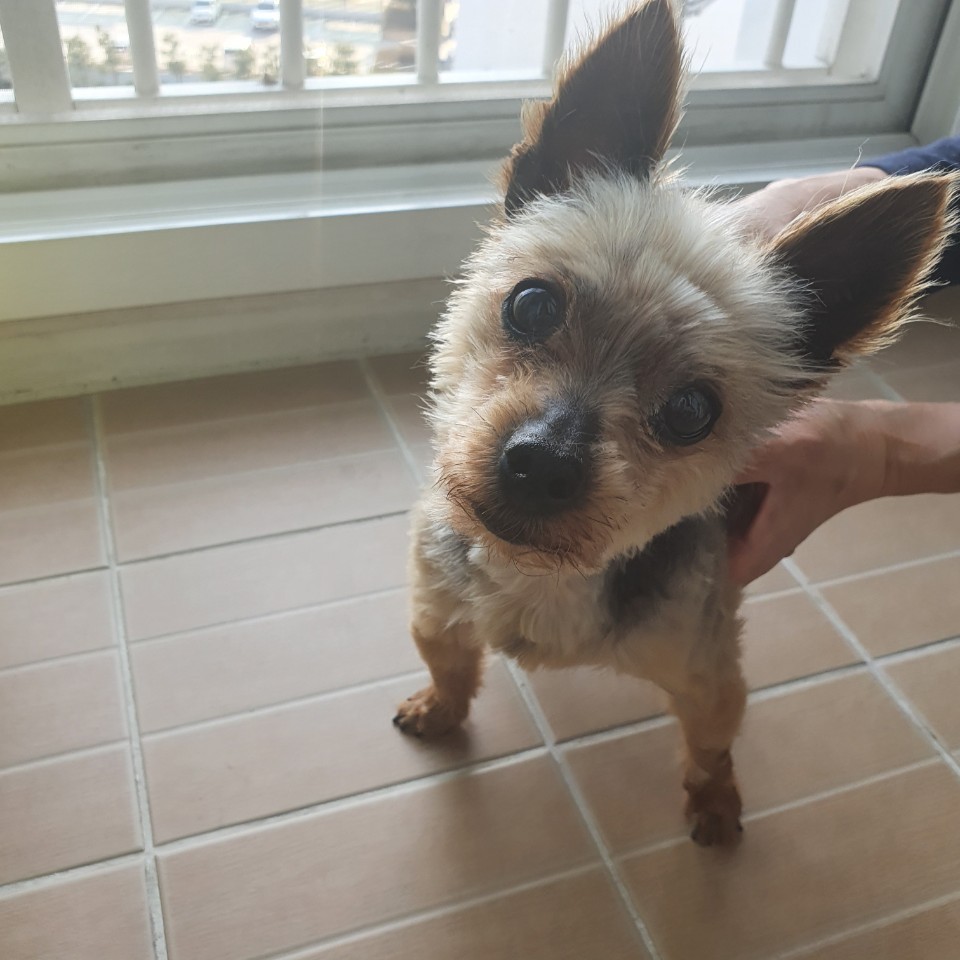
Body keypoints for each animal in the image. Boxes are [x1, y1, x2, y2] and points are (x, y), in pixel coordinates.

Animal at [392, 0, 957, 845]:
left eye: (693, 411)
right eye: (532, 304)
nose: (544, 463)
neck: (542, 578)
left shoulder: (708, 667)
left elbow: (713, 740)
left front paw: (716, 803)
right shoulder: (437, 604)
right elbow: (449, 664)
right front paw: (441, 708)